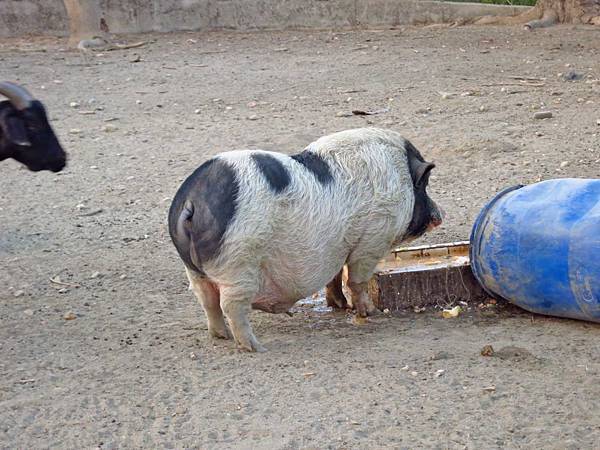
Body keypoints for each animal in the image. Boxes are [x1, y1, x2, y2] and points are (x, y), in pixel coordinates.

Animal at [168, 126, 440, 352]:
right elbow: (357, 280)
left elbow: (334, 276)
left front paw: (340, 306)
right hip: (237, 266)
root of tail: (192, 201)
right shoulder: (371, 242)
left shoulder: (338, 246)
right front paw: (370, 312)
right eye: (424, 185)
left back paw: (221, 336)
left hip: (195, 271)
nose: (440, 215)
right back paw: (255, 348)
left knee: (208, 302)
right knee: (231, 307)